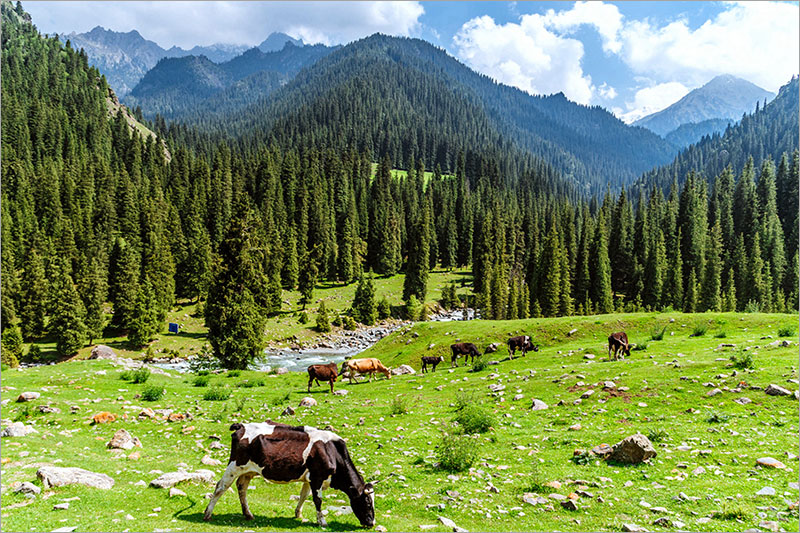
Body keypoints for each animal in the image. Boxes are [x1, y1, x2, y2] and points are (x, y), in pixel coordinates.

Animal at [202, 420, 374, 528]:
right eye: (367, 502)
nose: (371, 523)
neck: (332, 452)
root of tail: (241, 426)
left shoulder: (309, 479)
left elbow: (304, 496)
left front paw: (298, 515)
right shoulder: (317, 477)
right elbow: (318, 500)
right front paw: (322, 521)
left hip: (248, 470)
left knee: (241, 487)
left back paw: (248, 514)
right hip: (235, 465)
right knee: (221, 487)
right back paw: (207, 514)